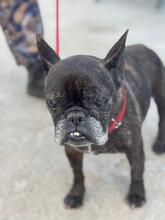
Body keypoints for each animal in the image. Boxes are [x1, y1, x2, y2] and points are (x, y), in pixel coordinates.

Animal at [36, 30, 165, 208]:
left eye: (100, 100)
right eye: (53, 103)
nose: (75, 117)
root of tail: (143, 47)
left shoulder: (135, 150)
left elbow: (137, 172)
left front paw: (137, 194)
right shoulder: (72, 151)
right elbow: (78, 174)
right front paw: (76, 194)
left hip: (161, 95)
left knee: (162, 118)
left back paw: (159, 144)